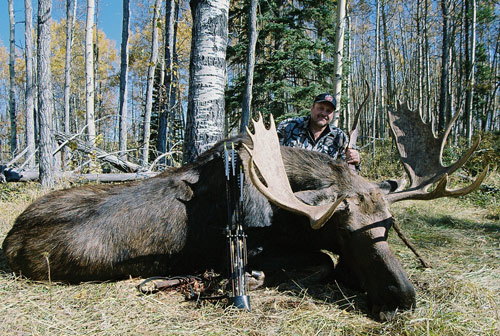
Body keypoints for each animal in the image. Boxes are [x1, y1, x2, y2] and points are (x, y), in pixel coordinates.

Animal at [0, 103, 486, 320]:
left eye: (390, 225)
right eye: (347, 232)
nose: (402, 299)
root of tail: (9, 241)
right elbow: (321, 264)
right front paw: (245, 279)